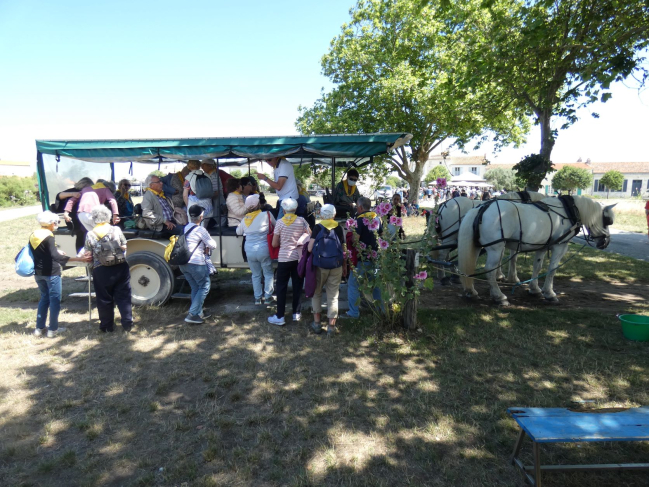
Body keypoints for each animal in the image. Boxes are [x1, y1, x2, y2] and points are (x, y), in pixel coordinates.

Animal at [456, 194, 612, 304]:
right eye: (607, 221)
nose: (606, 242)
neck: (568, 211)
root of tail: (482, 207)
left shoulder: (543, 247)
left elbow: (537, 267)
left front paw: (534, 289)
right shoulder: (559, 246)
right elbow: (552, 270)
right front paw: (549, 293)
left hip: (477, 246)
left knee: (469, 268)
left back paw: (471, 291)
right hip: (496, 248)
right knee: (490, 270)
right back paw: (499, 296)